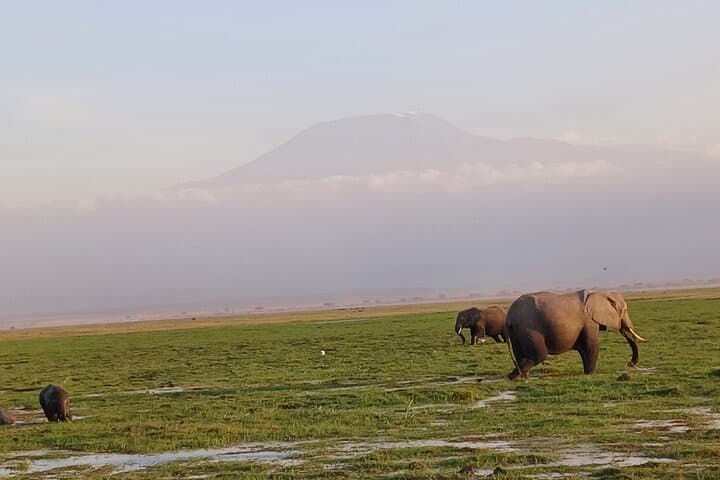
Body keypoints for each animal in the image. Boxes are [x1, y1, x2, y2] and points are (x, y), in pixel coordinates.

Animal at [504, 290, 645, 379]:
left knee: (520, 355)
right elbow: (590, 347)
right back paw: (514, 377)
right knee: (539, 355)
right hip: (529, 329)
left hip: (517, 332)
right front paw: (590, 374)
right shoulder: (589, 321)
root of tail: (509, 317)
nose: (630, 364)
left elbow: (583, 349)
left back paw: (519, 376)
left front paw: (587, 373)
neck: (601, 293)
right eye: (624, 310)